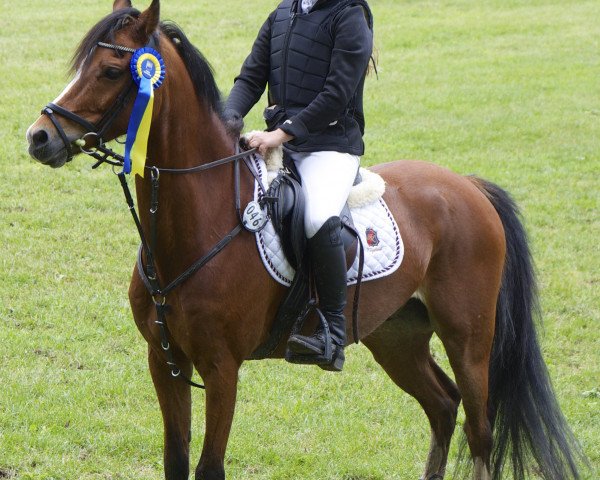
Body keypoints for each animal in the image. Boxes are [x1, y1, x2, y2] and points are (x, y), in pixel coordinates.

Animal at [25, 0, 584, 480]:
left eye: (111, 71)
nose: (39, 137)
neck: (196, 226)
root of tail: (467, 186)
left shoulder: (222, 368)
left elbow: (208, 468)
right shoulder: (165, 362)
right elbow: (176, 463)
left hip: (468, 338)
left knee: (479, 428)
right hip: (396, 336)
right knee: (443, 408)